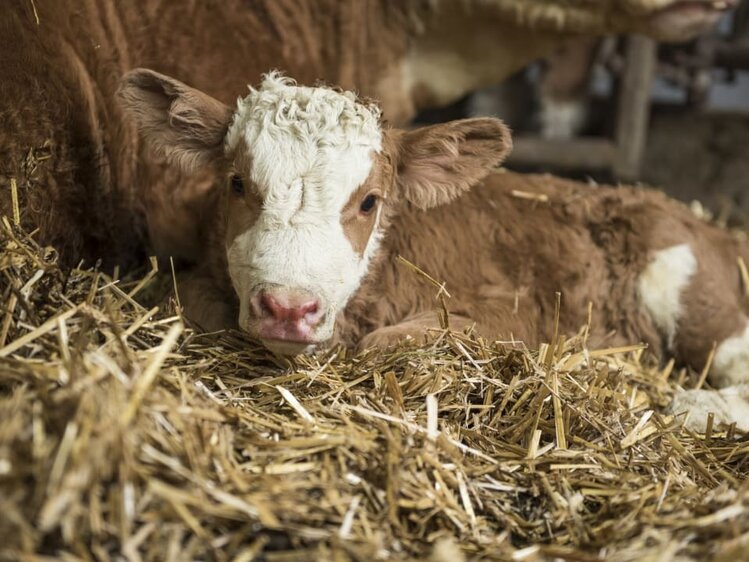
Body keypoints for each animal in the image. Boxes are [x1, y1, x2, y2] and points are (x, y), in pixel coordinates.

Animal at [120, 68, 748, 428]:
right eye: (236, 184)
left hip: (693, 290)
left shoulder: (517, 312)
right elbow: (189, 300)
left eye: (370, 202)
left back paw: (696, 409)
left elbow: (383, 344)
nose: (288, 308)